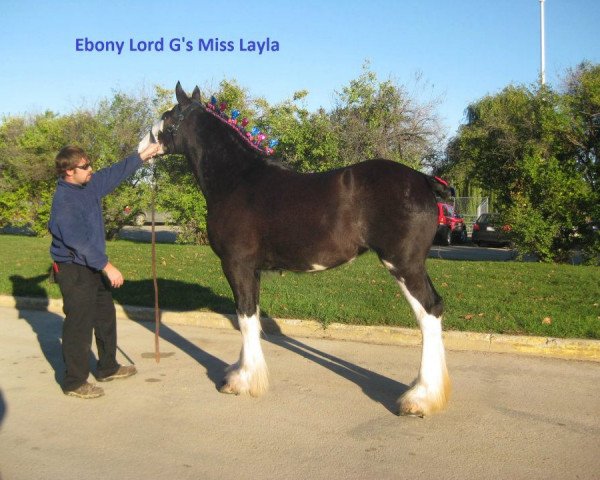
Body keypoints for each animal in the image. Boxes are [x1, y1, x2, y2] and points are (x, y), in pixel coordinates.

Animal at [141, 82, 450, 416]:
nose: (142, 146)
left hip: (404, 264)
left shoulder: (237, 264)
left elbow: (244, 317)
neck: (238, 179)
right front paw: (242, 373)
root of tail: (423, 180)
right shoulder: (252, 270)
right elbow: (251, 317)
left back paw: (420, 397)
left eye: (168, 116)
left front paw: (242, 381)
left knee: (428, 313)